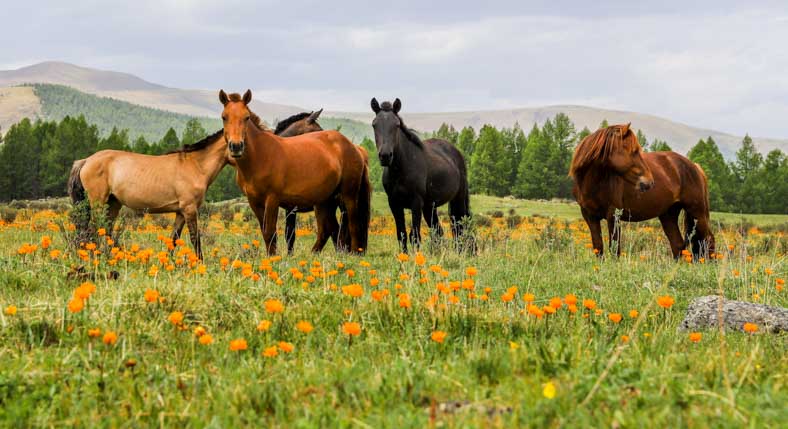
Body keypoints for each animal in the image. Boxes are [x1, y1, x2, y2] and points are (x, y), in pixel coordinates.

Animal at [66, 129, 229, 260]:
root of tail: (86, 161)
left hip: (112, 204)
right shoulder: (190, 209)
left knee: (105, 231)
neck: (195, 165)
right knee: (92, 231)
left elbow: (173, 239)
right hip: (98, 204)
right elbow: (195, 238)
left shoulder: (181, 212)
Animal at [220, 89, 370, 254]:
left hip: (348, 196)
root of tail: (354, 147)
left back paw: (354, 253)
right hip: (325, 201)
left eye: (246, 117)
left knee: (352, 225)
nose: (236, 146)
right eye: (224, 117)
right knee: (331, 230)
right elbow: (268, 233)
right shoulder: (255, 202)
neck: (260, 156)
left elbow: (272, 232)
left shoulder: (273, 200)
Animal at [370, 97, 474, 252]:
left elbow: (414, 235)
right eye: (374, 125)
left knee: (461, 226)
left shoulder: (416, 203)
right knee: (438, 231)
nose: (385, 156)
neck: (401, 169)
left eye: (396, 125)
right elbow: (401, 234)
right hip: (430, 206)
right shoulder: (394, 203)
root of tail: (456, 152)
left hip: (457, 199)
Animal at [568, 122, 716, 260]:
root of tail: (695, 167)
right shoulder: (590, 217)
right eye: (633, 151)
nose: (649, 182)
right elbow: (598, 248)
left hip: (698, 212)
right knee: (678, 245)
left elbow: (615, 249)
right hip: (668, 215)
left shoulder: (614, 216)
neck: (594, 184)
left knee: (709, 240)